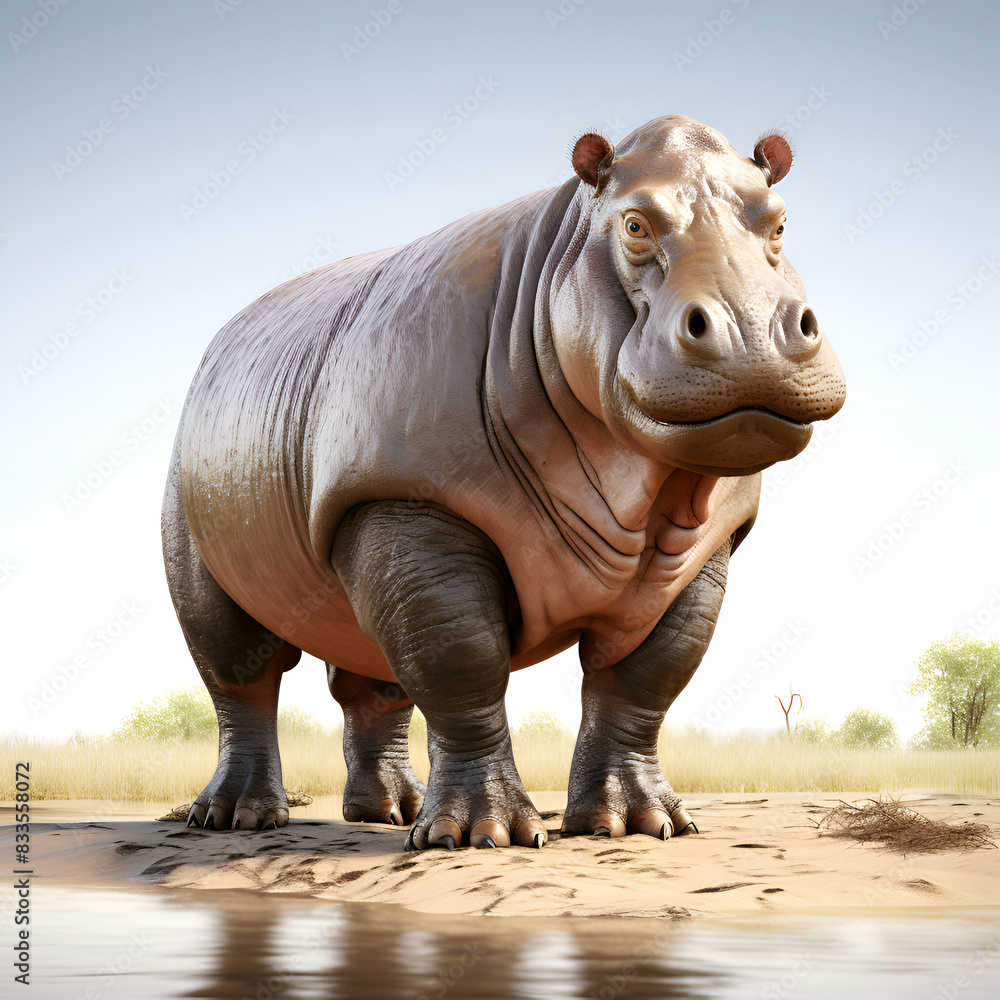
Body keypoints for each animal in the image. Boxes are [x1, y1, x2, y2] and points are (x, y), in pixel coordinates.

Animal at [162, 114, 845, 850]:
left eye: (780, 225)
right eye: (634, 225)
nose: (752, 332)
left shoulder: (705, 542)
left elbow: (646, 677)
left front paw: (641, 826)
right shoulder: (406, 496)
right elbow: (460, 658)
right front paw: (481, 837)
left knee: (369, 661)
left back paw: (389, 814)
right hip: (192, 477)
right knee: (238, 666)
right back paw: (236, 821)